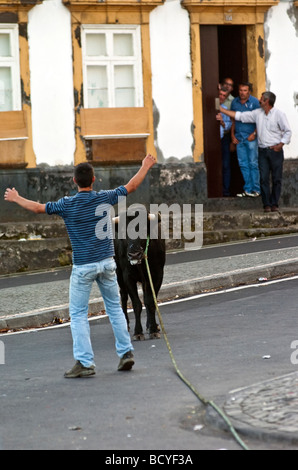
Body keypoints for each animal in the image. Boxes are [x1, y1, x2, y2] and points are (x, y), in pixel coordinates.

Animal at [113, 211, 166, 340]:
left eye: (142, 229)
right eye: (123, 231)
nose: (134, 254)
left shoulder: (157, 275)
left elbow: (150, 302)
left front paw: (153, 329)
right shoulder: (128, 277)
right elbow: (136, 303)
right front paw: (138, 332)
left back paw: (150, 325)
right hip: (119, 275)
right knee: (123, 296)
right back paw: (126, 324)